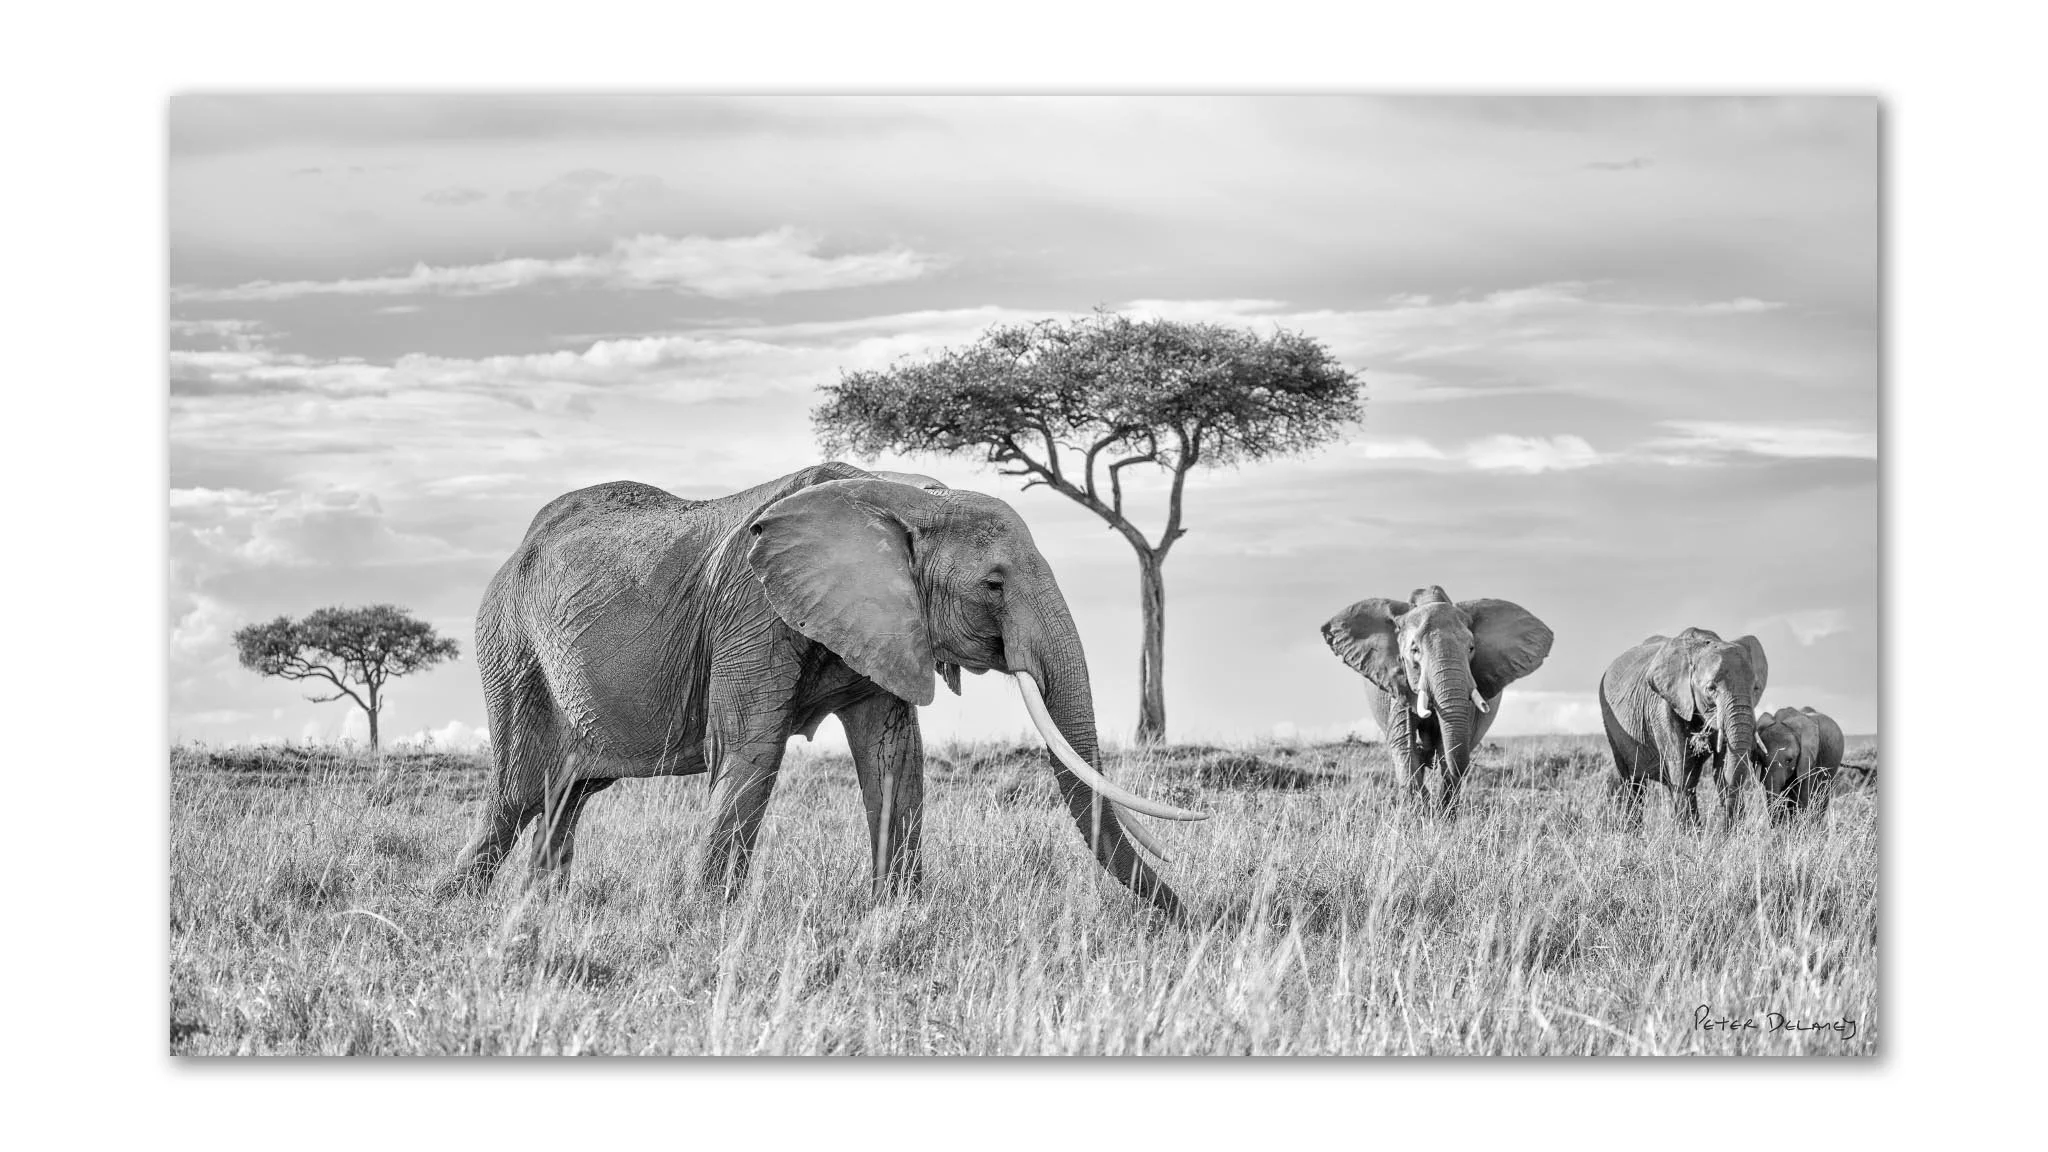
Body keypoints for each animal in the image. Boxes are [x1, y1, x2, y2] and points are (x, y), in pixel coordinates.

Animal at [438, 462, 1205, 919]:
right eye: (994, 584)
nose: (1197, 918)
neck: (901, 494)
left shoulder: (886, 623)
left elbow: (894, 758)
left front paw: (897, 916)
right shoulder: (751, 610)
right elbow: (750, 751)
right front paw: (708, 922)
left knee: (565, 796)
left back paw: (540, 910)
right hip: (511, 650)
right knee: (516, 793)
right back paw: (451, 908)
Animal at [1321, 586, 1554, 814]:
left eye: (1471, 648)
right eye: (1414, 650)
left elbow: (1447, 748)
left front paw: (1441, 817)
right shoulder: (1398, 682)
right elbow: (1404, 746)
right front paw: (1419, 815)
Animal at [1598, 628, 1768, 830]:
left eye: (1756, 688)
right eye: (1711, 688)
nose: (1722, 830)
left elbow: (1720, 768)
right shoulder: (1664, 707)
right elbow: (1683, 773)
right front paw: (1691, 835)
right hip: (1611, 725)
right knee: (1633, 782)